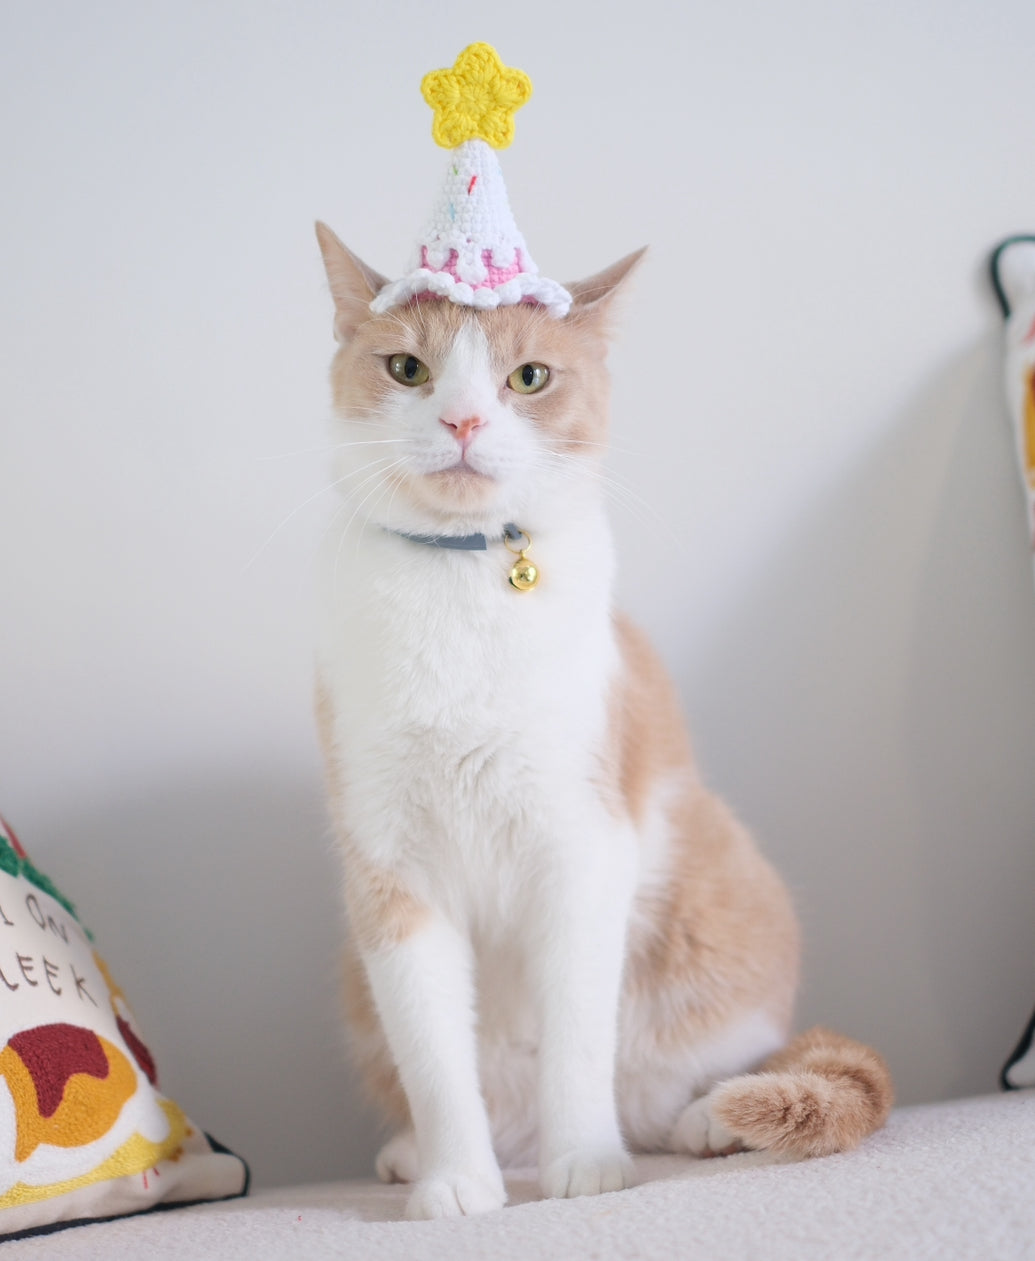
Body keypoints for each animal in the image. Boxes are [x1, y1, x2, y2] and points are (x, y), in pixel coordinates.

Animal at [311, 221, 892, 1215]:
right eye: (408, 368)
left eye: (528, 376)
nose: (463, 421)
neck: (461, 590)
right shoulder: (390, 873)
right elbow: (433, 1057)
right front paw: (456, 1180)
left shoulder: (582, 846)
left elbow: (577, 1036)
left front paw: (583, 1161)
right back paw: (430, 1153)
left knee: (695, 1081)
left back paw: (706, 1120)